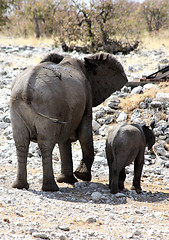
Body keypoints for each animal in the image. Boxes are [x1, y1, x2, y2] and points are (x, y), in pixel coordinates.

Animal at [9, 52, 127, 191]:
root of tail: (26, 91)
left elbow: (64, 140)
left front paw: (67, 179)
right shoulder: (87, 95)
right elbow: (85, 134)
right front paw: (82, 176)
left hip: (17, 107)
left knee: (21, 142)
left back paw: (20, 186)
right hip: (47, 106)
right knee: (45, 143)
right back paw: (50, 188)